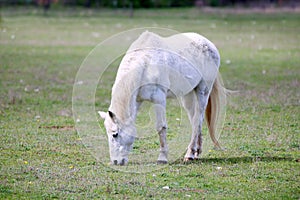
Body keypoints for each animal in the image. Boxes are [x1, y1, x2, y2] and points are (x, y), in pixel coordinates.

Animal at [99, 30, 226, 166]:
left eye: (115, 134)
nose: (116, 161)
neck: (145, 64)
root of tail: (209, 44)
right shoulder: (137, 100)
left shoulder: (159, 99)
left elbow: (161, 127)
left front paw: (162, 158)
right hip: (188, 96)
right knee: (195, 120)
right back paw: (196, 152)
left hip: (203, 91)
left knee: (198, 119)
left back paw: (190, 154)